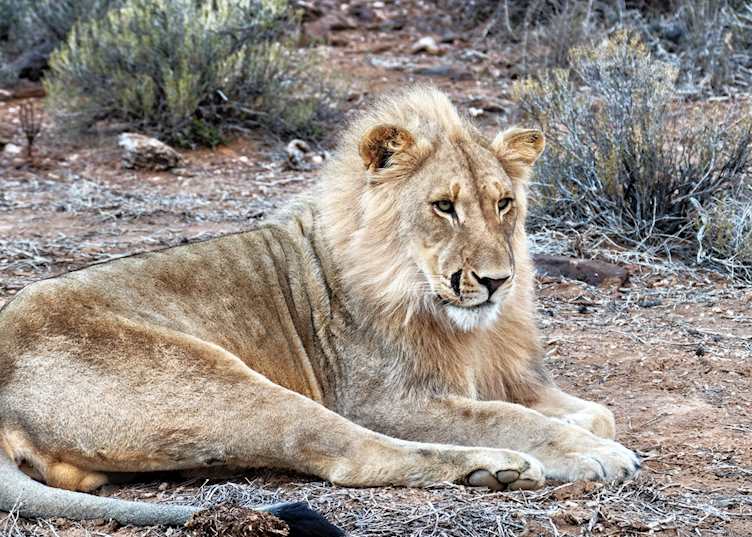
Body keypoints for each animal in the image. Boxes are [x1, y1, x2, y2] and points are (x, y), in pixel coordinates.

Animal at [0, 86, 639, 530]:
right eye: (443, 207)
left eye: (504, 203)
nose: (496, 281)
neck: (468, 327)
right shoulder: (383, 400)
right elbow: (511, 417)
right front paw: (597, 454)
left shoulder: (508, 376)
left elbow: (594, 410)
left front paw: (585, 427)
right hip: (221, 383)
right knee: (353, 453)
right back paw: (498, 466)